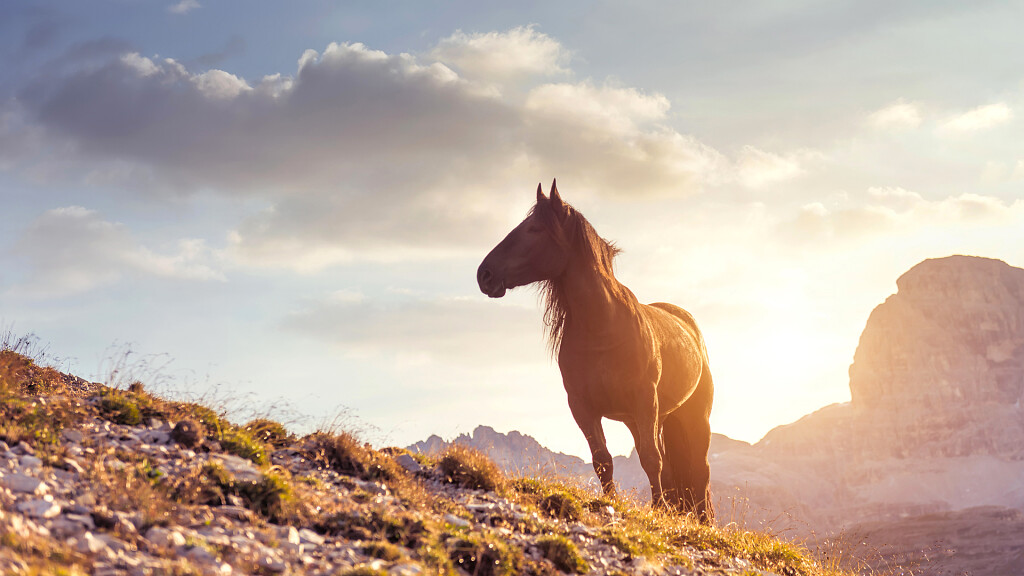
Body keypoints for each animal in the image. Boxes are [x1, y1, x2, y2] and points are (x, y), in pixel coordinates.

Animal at [477, 180, 715, 523]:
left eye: (534, 228)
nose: (484, 274)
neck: (603, 331)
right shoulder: (583, 407)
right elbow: (603, 461)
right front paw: (614, 504)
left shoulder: (645, 401)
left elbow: (650, 459)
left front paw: (657, 511)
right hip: (643, 419)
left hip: (692, 416)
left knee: (698, 470)